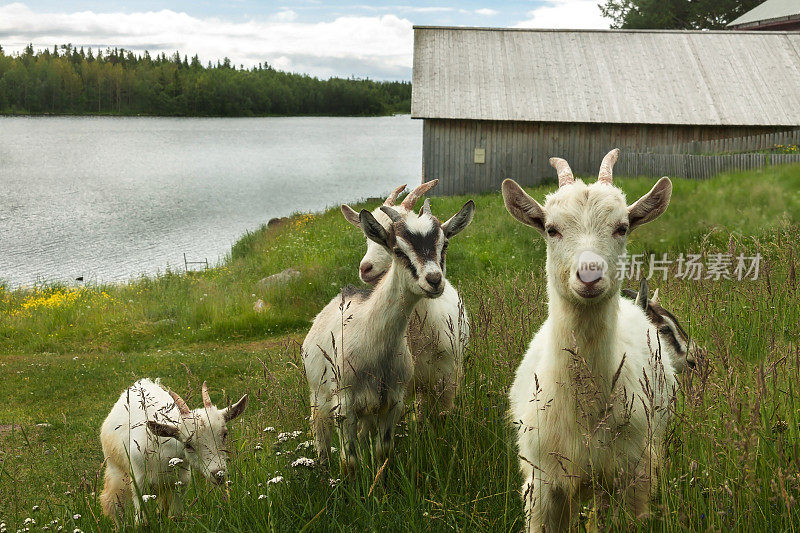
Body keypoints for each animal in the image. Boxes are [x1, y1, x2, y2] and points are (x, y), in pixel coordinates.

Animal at [99, 378, 247, 520]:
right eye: (188, 444)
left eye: (225, 434)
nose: (218, 474)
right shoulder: (139, 485)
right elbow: (141, 520)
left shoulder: (180, 484)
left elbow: (175, 515)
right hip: (116, 470)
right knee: (112, 503)